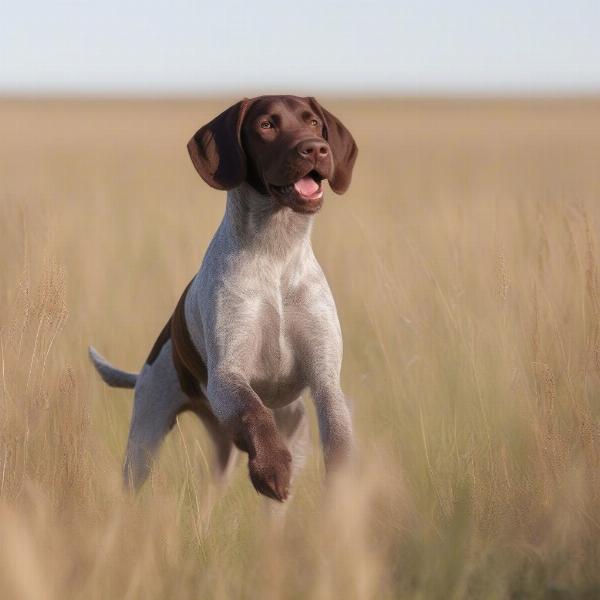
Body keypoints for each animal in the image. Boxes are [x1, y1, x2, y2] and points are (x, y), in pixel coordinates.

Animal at [89, 96, 356, 502]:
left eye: (313, 122)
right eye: (266, 125)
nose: (315, 148)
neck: (275, 253)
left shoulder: (325, 377)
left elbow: (338, 432)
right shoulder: (228, 376)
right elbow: (254, 411)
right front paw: (270, 469)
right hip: (145, 441)